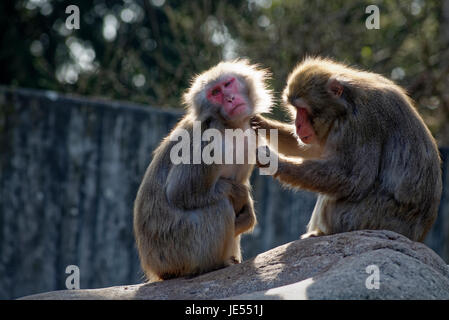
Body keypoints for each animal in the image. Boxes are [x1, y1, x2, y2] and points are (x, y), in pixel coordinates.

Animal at [133, 60, 272, 280]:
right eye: (215, 93)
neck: (230, 126)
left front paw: (247, 211)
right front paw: (239, 193)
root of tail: (154, 267)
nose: (230, 98)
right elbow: (179, 193)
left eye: (228, 84)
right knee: (218, 206)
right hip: (178, 248)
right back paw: (212, 266)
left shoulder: (251, 137)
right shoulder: (208, 140)